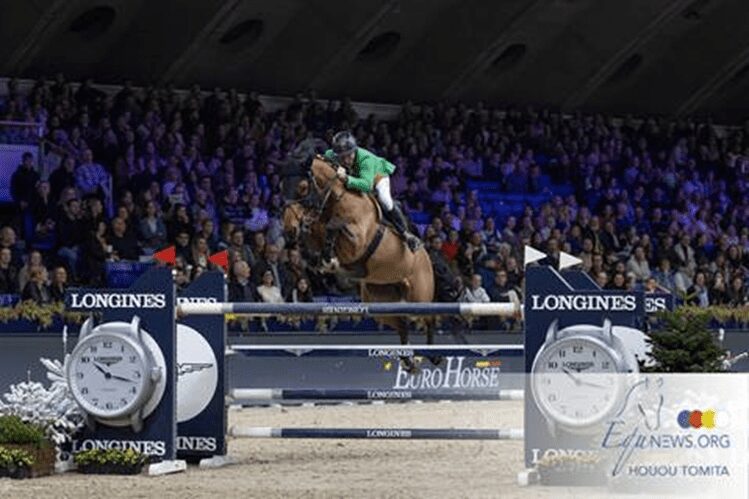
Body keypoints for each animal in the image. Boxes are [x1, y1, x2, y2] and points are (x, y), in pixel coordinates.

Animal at [283, 156, 438, 371]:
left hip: (419, 295)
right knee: (401, 324)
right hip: (379, 301)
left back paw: (434, 355)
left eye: (303, 187)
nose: (288, 230)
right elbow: (318, 231)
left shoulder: (356, 240)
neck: (338, 199)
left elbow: (334, 226)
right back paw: (409, 361)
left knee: (430, 318)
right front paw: (321, 259)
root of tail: (425, 254)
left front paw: (328, 259)